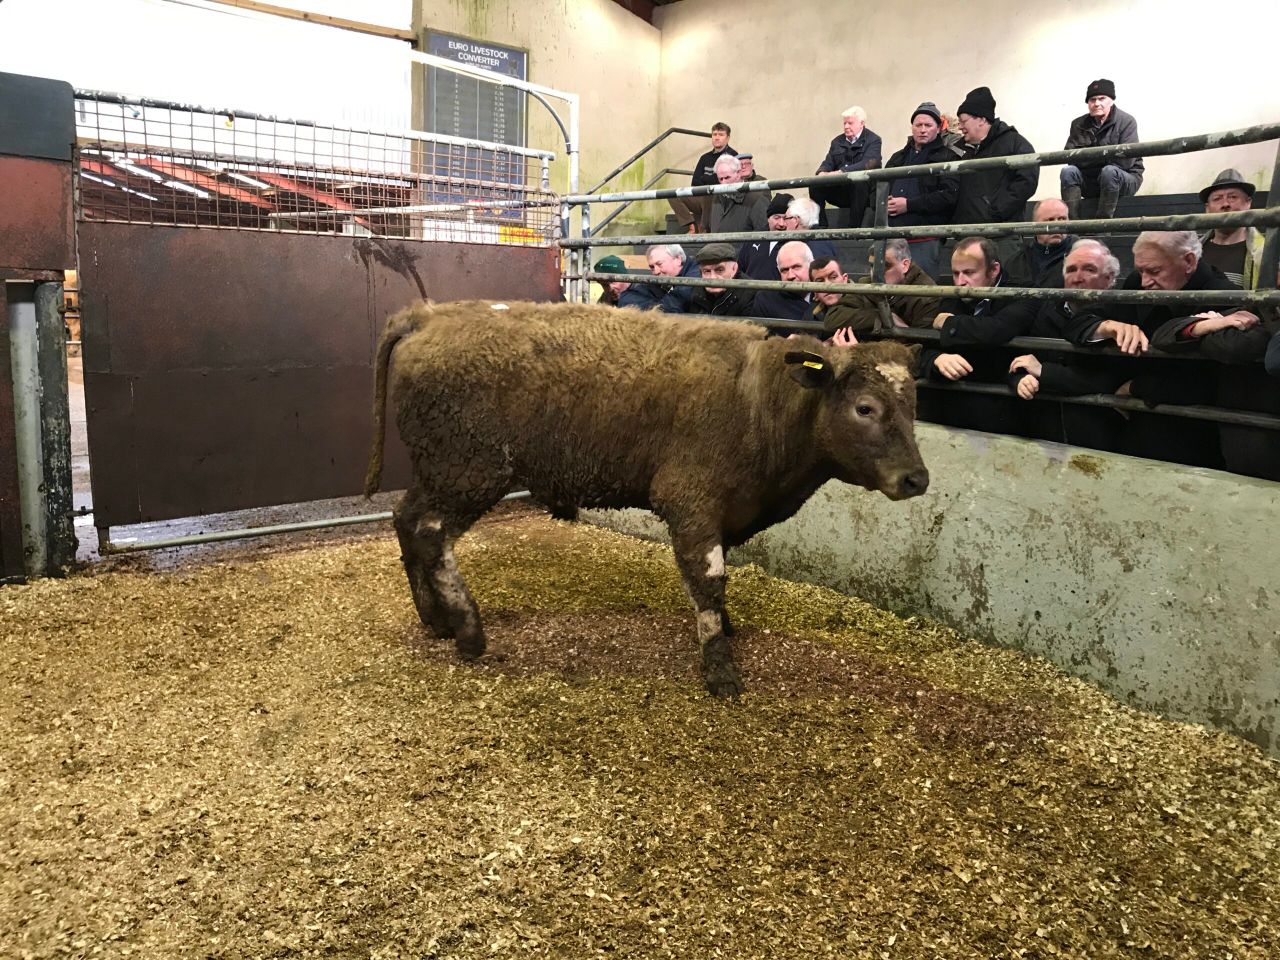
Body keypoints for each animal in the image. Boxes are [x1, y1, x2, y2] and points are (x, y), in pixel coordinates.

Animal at [365, 300, 929, 697]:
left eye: (913, 406)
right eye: (865, 407)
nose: (917, 479)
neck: (758, 402)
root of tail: (429, 314)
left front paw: (726, 631)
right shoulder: (691, 499)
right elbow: (709, 578)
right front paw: (720, 668)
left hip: (440, 470)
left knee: (405, 518)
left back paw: (434, 620)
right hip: (469, 470)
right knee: (432, 534)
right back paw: (468, 630)